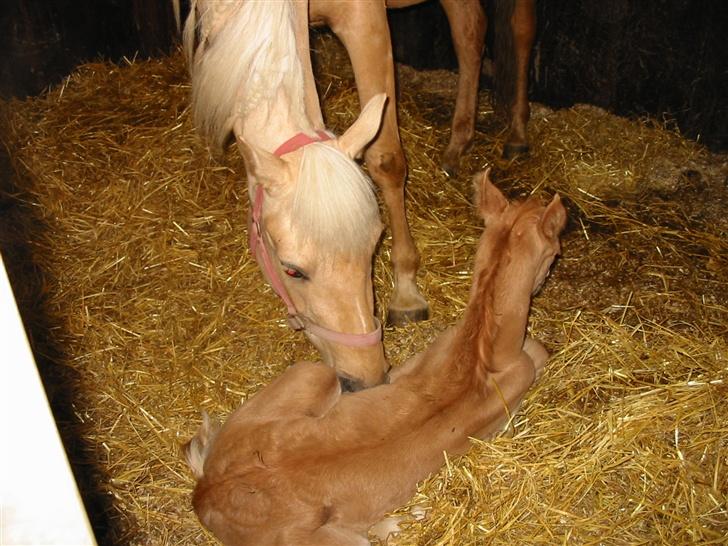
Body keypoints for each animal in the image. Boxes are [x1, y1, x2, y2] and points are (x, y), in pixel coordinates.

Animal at [183, 170, 568, 544]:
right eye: (553, 254)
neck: (481, 351)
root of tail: (206, 494)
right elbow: (539, 351)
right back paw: (410, 516)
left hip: (309, 374)